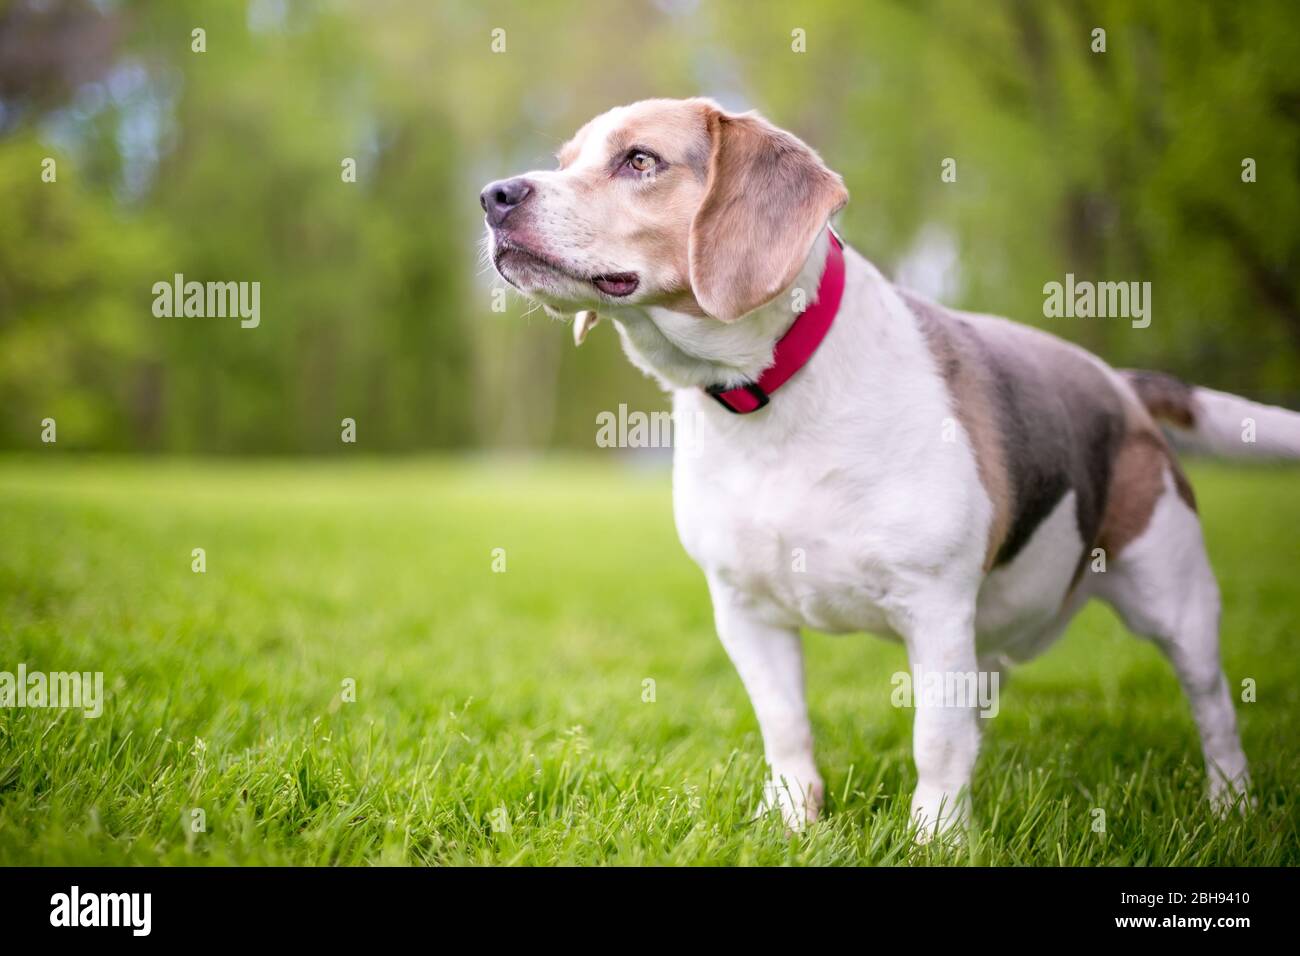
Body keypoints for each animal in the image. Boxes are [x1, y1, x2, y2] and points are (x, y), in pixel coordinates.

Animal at [480, 97, 1300, 842]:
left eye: (640, 161)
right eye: (565, 160)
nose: (493, 196)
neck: (769, 395)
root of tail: (1123, 386)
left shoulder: (933, 605)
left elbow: (934, 740)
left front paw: (936, 838)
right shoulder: (745, 611)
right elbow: (786, 728)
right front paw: (792, 821)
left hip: (1174, 596)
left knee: (1213, 706)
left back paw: (1230, 805)